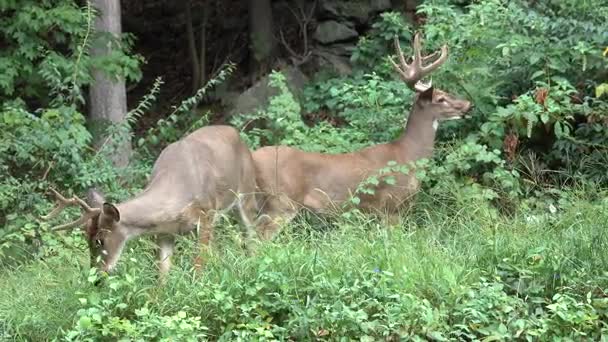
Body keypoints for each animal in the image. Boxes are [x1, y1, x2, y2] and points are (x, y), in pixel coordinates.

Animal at [40, 125, 258, 278]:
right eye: (86, 237)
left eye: (99, 240)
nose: (96, 277)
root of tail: (237, 134)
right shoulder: (164, 232)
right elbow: (162, 273)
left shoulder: (206, 215)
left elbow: (199, 264)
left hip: (247, 193)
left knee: (253, 234)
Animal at [251, 33, 470, 239]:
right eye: (440, 99)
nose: (468, 105)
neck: (409, 155)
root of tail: (252, 157)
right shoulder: (392, 205)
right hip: (280, 201)